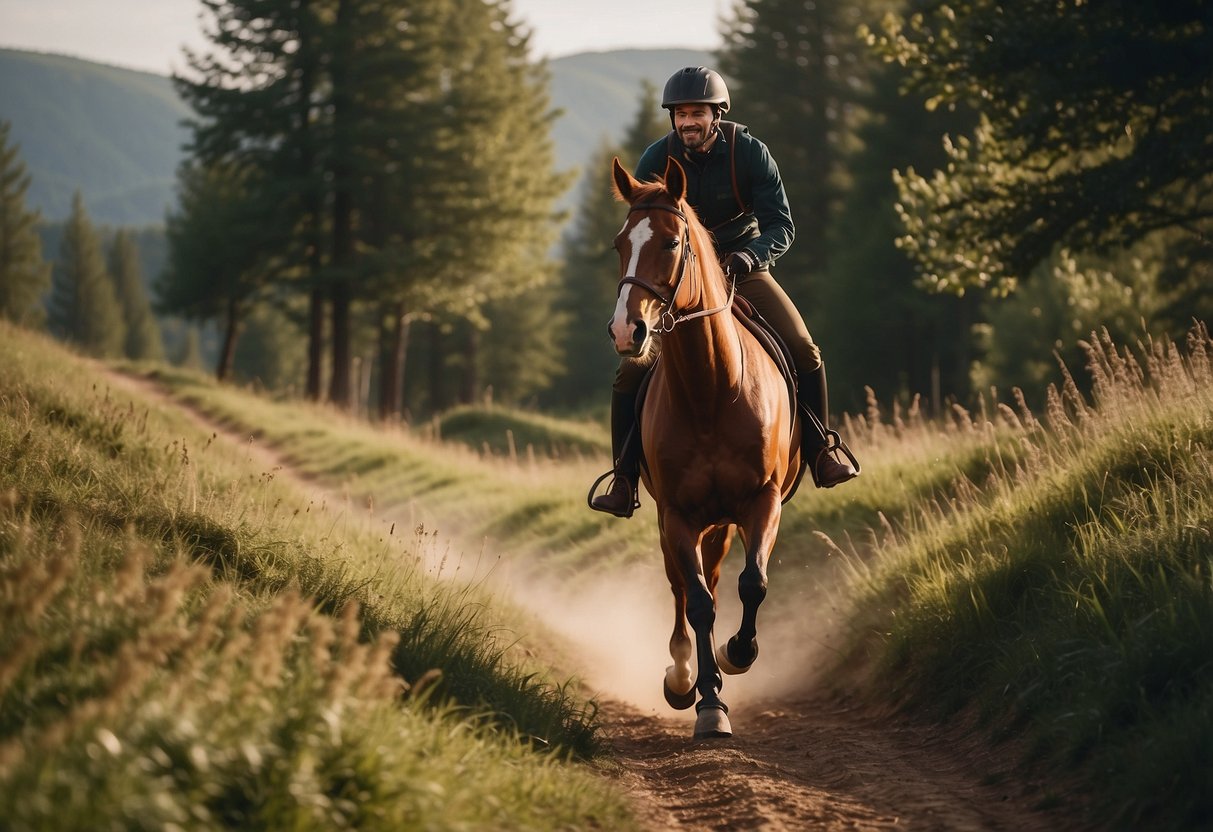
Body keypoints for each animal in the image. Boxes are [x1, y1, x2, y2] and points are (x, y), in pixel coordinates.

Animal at [606, 153, 805, 742]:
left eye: (672, 243)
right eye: (620, 244)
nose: (627, 331)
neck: (712, 389)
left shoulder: (761, 502)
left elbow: (753, 583)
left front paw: (739, 653)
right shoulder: (677, 514)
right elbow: (695, 602)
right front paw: (707, 700)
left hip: (721, 523)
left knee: (720, 579)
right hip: (683, 522)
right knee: (683, 587)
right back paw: (681, 674)